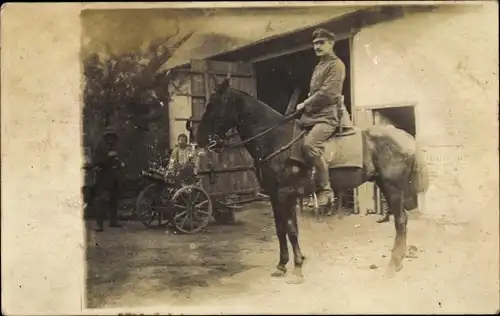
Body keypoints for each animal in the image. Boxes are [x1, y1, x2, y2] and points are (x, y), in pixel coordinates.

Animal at [193, 78, 428, 282]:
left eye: (212, 105)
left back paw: (393, 265)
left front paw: (297, 268)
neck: (275, 139)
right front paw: (282, 266)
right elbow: (281, 230)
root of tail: (407, 138)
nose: (199, 138)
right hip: (384, 184)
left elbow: (291, 230)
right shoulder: (274, 196)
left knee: (400, 222)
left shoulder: (286, 194)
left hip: (393, 187)